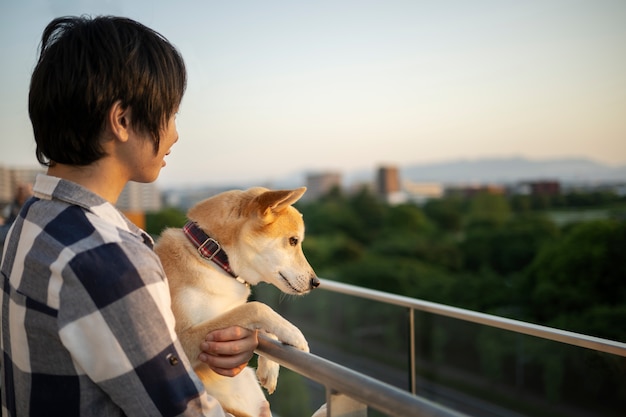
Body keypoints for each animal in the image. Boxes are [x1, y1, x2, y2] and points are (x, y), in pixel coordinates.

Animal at [154, 187, 320, 414]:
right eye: (293, 241)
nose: (316, 282)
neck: (215, 259)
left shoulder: (231, 309)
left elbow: (254, 316)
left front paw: (270, 369)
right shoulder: (182, 340)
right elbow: (256, 307)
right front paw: (294, 333)